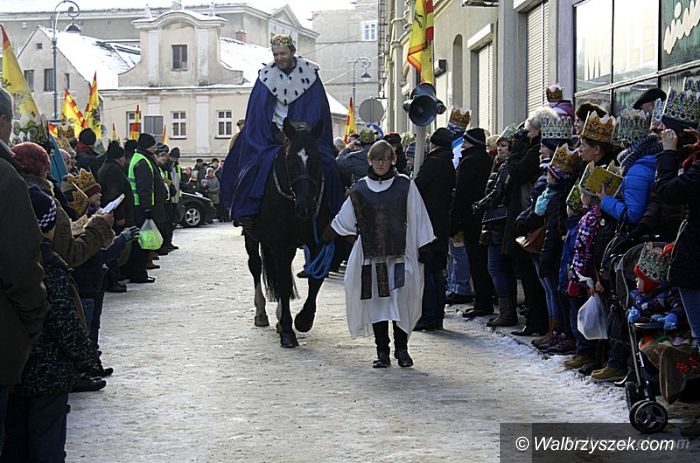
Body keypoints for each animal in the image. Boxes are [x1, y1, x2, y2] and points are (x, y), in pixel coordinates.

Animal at [242, 118, 331, 348]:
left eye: (317, 158)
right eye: (290, 160)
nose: (306, 207)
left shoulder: (317, 243)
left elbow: (314, 279)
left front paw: (303, 320)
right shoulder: (280, 243)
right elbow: (282, 283)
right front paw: (288, 331)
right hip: (251, 236)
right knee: (256, 265)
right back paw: (262, 313)